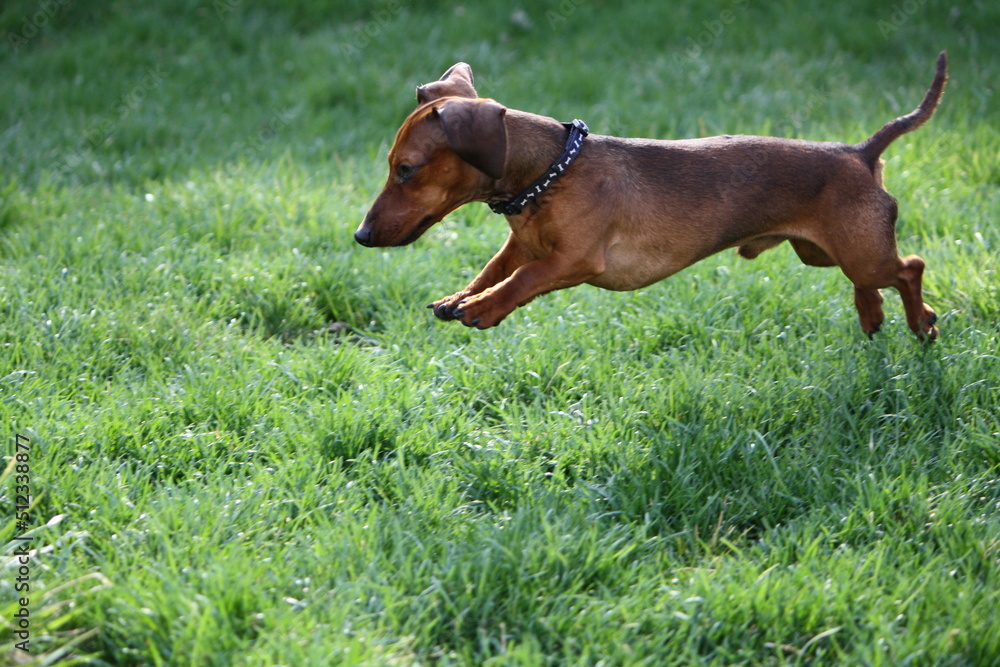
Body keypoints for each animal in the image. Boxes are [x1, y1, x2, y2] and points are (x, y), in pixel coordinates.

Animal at [358, 53, 944, 340]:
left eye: (406, 170)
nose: (361, 236)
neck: (552, 173)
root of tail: (860, 153)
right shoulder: (520, 246)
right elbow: (492, 269)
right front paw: (462, 296)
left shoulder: (572, 261)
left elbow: (522, 281)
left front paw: (482, 308)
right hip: (826, 252)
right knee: (872, 282)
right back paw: (872, 316)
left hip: (860, 251)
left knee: (909, 268)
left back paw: (920, 323)